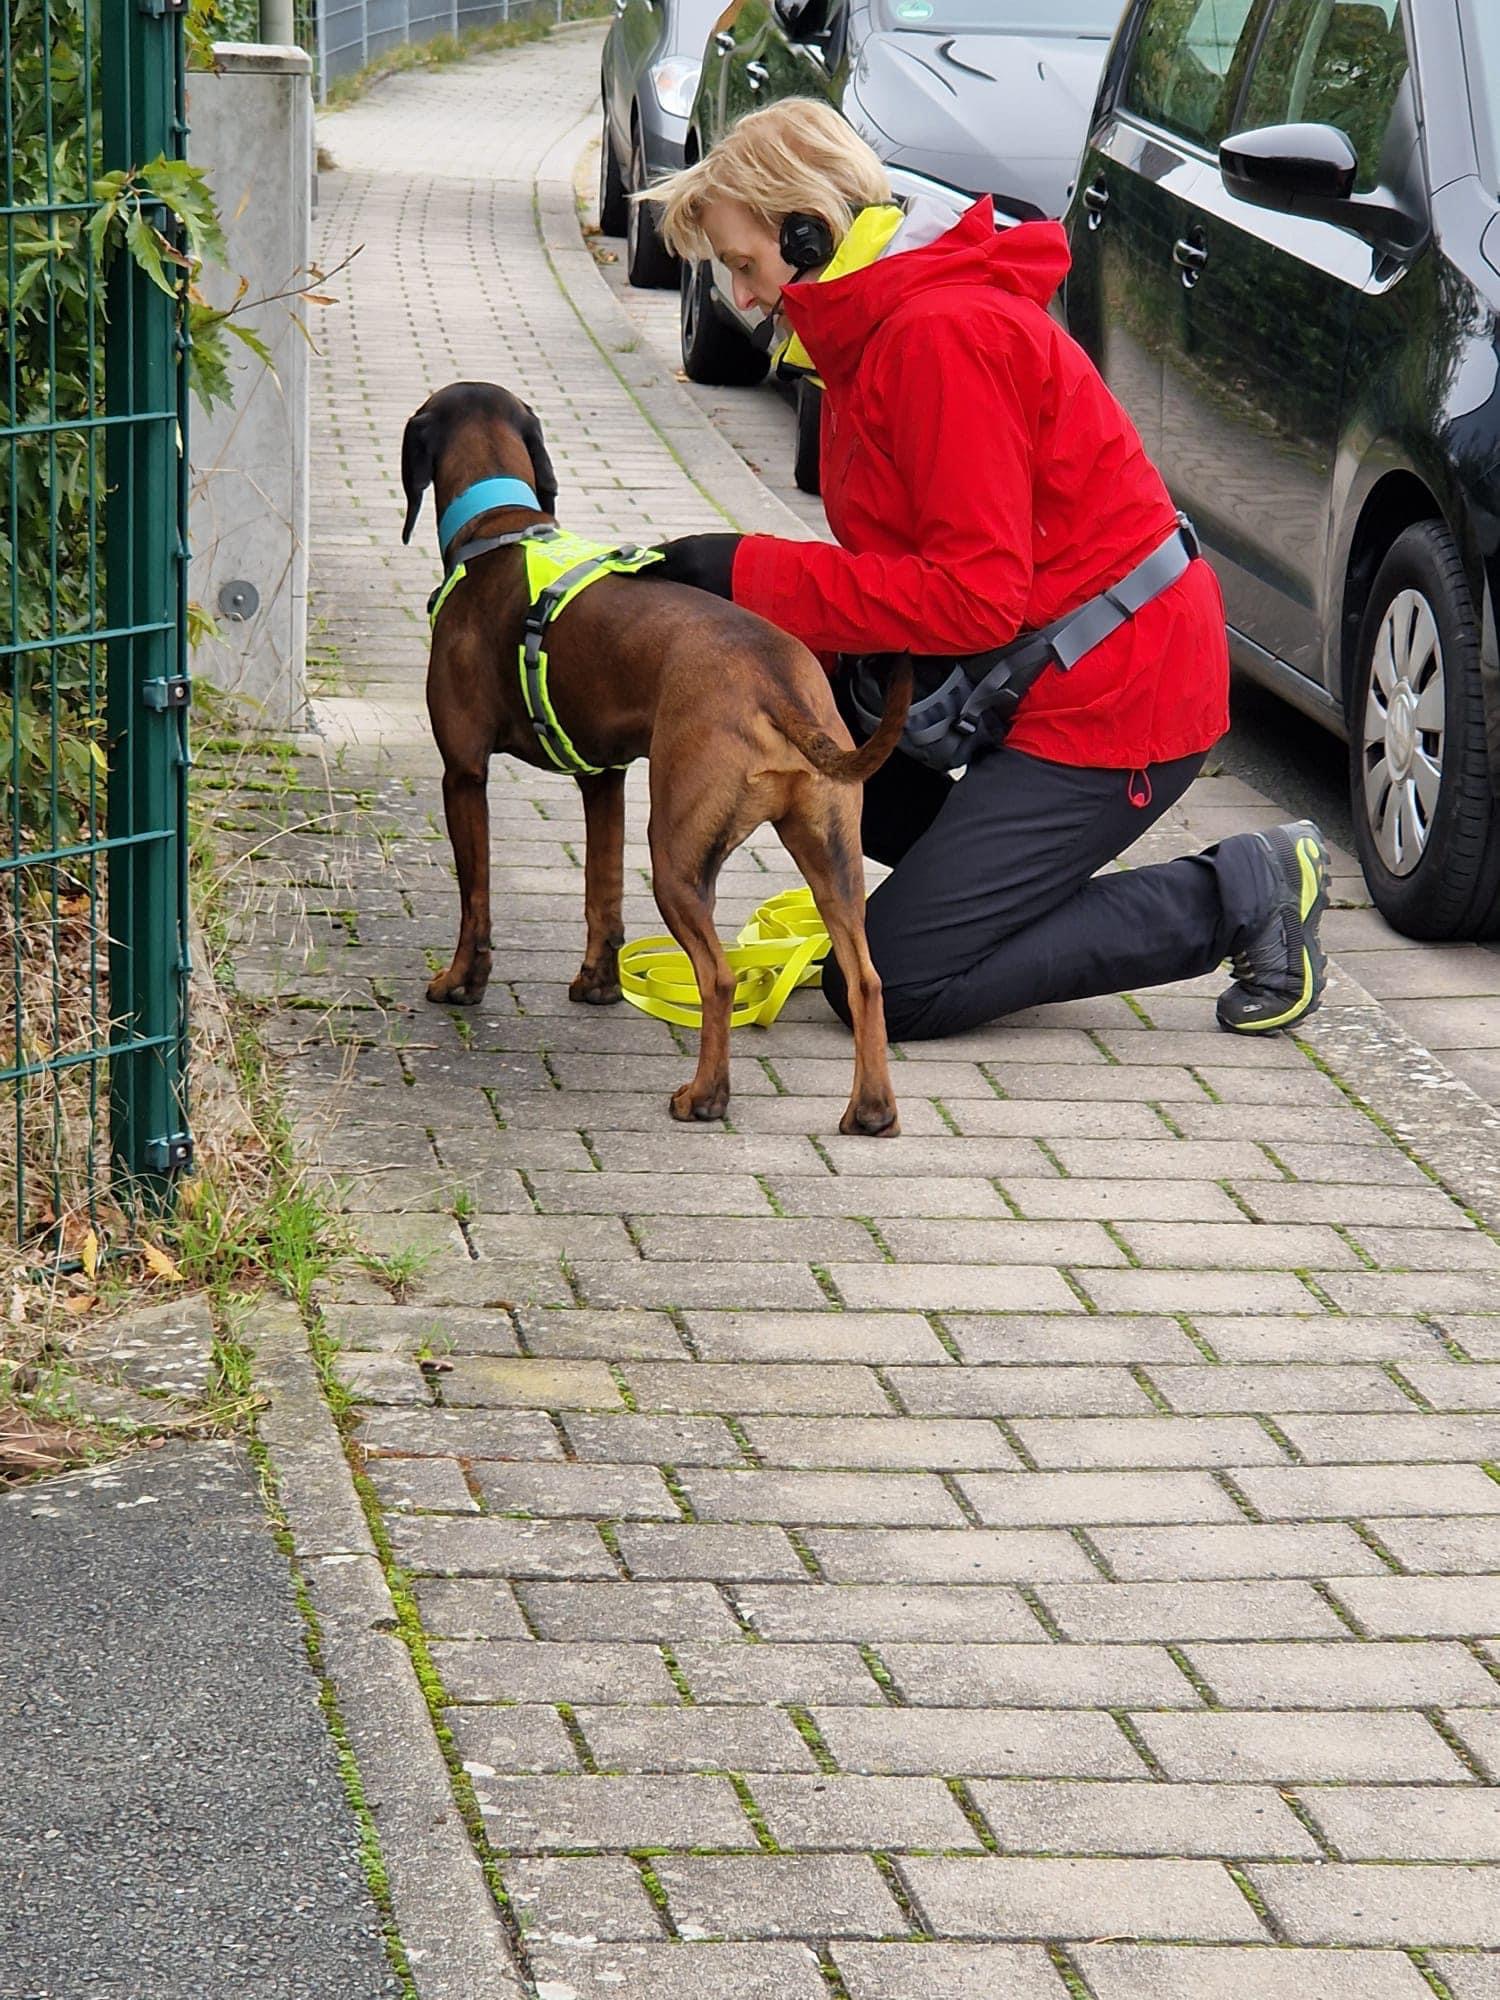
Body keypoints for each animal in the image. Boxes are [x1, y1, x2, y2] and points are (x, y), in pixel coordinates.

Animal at [402, 382, 916, 1136]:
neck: (503, 526)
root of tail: (773, 679)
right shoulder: (604, 781)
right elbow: (602, 895)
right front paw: (598, 984)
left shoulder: (464, 774)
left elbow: (476, 902)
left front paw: (461, 983)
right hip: (830, 859)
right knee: (866, 978)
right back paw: (871, 1110)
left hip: (677, 857)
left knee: (720, 978)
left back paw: (705, 1095)